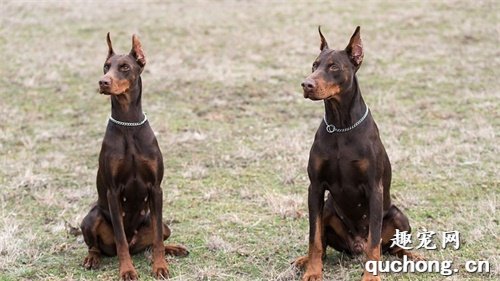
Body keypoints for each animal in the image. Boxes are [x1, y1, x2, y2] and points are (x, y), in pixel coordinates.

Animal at [81, 34, 188, 278]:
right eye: (105, 66)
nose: (103, 82)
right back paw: (92, 258)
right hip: (91, 217)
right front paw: (127, 271)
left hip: (160, 224)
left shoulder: (156, 188)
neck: (128, 124)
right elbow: (120, 239)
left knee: (155, 239)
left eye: (124, 67)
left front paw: (160, 266)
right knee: (97, 245)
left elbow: (157, 238)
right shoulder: (112, 192)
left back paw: (175, 248)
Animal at [292, 26, 422, 280]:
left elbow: (374, 243)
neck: (340, 125)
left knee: (391, 247)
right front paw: (313, 271)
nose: (306, 84)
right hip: (328, 209)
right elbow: (315, 238)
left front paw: (371, 275)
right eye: (314, 64)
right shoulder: (315, 187)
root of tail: (356, 246)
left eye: (334, 67)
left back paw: (413, 256)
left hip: (397, 215)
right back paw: (304, 260)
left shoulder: (374, 188)